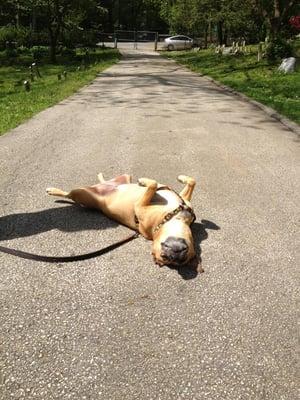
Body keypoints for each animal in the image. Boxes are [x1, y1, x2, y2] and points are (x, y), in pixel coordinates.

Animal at [46, 173, 202, 270]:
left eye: (164, 257)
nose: (174, 253)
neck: (173, 217)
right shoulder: (182, 199)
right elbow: (191, 181)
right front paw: (181, 178)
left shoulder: (140, 206)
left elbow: (153, 185)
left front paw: (145, 181)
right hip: (124, 177)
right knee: (107, 181)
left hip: (81, 195)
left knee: (69, 194)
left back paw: (53, 191)